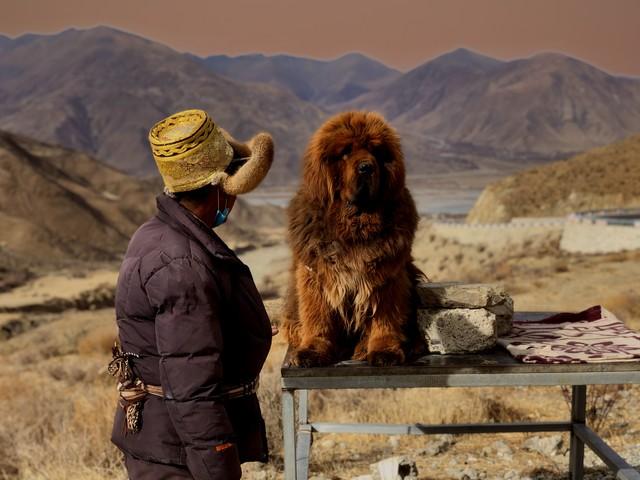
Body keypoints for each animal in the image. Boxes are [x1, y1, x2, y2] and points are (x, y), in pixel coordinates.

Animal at [282, 112, 424, 368]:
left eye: (375, 151)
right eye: (346, 152)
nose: (367, 167)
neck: (354, 225)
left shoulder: (386, 277)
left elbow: (385, 317)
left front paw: (384, 350)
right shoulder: (315, 276)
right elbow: (317, 316)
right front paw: (313, 350)